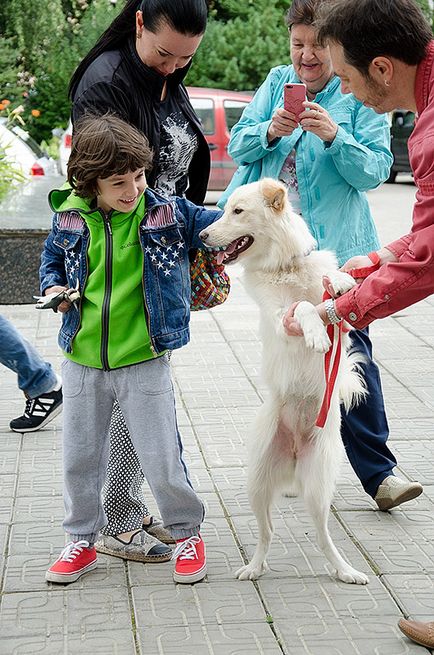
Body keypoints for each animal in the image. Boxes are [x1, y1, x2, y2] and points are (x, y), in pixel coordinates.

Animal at [202, 178, 368, 584]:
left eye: (238, 211)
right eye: (224, 209)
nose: (202, 236)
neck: (284, 265)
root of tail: (293, 452)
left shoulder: (346, 325)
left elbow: (330, 287)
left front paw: (342, 280)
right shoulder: (281, 318)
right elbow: (305, 307)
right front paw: (317, 336)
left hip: (319, 485)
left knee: (323, 536)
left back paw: (346, 571)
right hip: (258, 485)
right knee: (268, 532)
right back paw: (254, 567)